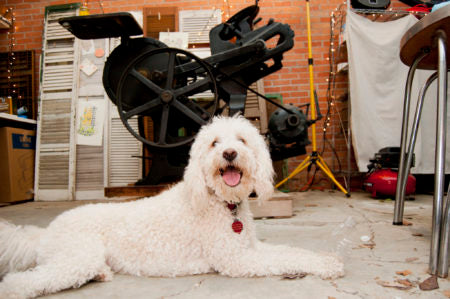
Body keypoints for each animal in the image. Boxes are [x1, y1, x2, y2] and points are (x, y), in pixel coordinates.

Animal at [0, 116, 344, 298]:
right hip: (75, 256)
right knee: (22, 281)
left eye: (242, 141)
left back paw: (100, 274)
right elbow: (286, 258)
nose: (230, 153)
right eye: (215, 143)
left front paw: (325, 259)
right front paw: (328, 265)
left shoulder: (249, 248)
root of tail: (44, 233)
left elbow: (292, 251)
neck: (221, 202)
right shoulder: (236, 259)